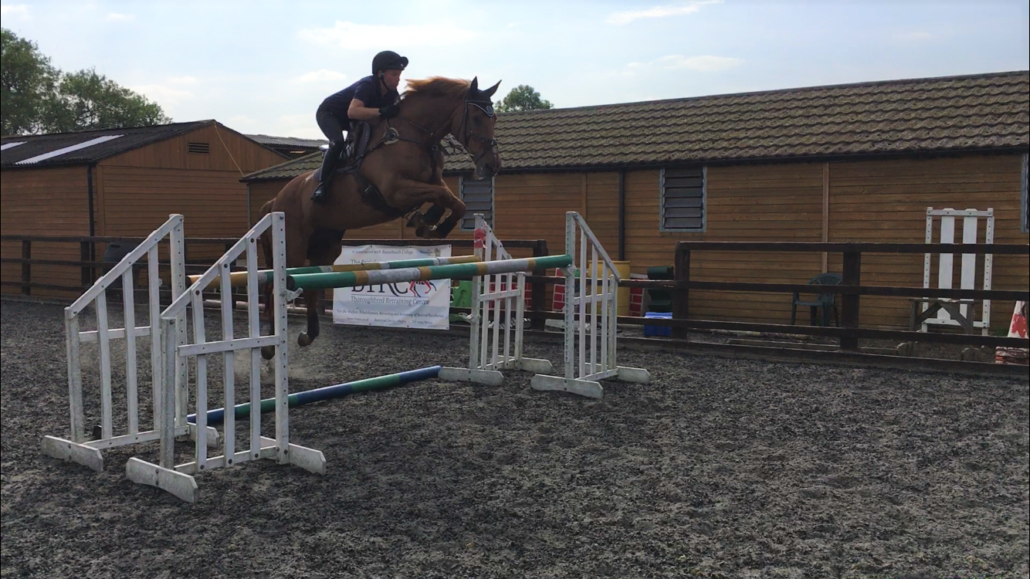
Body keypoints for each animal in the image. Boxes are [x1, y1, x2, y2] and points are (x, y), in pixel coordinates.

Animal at [258, 76, 502, 359]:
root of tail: (276, 201)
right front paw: (429, 223)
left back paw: (309, 335)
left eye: (494, 118)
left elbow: (454, 202)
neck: (413, 135)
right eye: (476, 117)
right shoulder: (396, 191)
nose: (493, 165)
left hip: (326, 247)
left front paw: (429, 223)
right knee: (275, 288)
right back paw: (269, 349)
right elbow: (442, 196)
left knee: (310, 285)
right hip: (294, 248)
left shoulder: (430, 183)